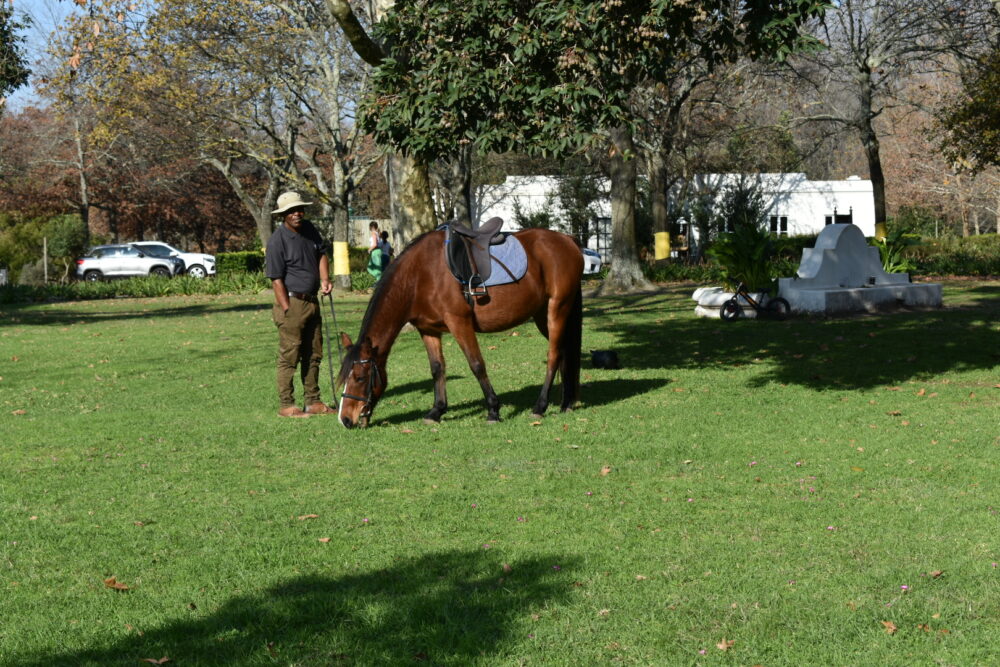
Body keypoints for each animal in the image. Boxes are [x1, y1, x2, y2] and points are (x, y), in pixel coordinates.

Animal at [336, 227, 584, 428]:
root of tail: (567, 240)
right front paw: (436, 411)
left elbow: (477, 365)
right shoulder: (428, 329)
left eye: (360, 377)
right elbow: (437, 368)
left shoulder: (459, 322)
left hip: (557, 309)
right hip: (543, 315)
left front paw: (493, 410)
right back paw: (566, 402)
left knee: (553, 355)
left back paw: (541, 406)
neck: (419, 276)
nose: (346, 419)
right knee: (564, 352)